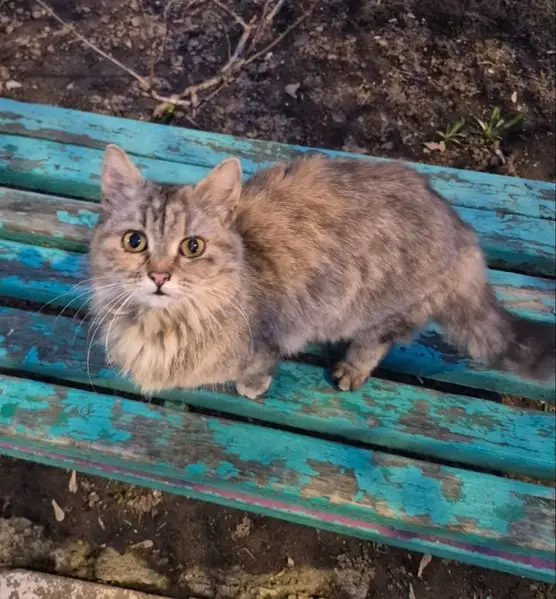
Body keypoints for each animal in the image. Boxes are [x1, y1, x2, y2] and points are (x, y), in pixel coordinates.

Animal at [89, 144, 555, 399]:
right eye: (135, 241)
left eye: (192, 247)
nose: (159, 276)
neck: (161, 328)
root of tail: (460, 229)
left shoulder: (266, 346)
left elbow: (258, 371)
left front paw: (251, 388)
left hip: (382, 309)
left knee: (376, 343)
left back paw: (350, 369)